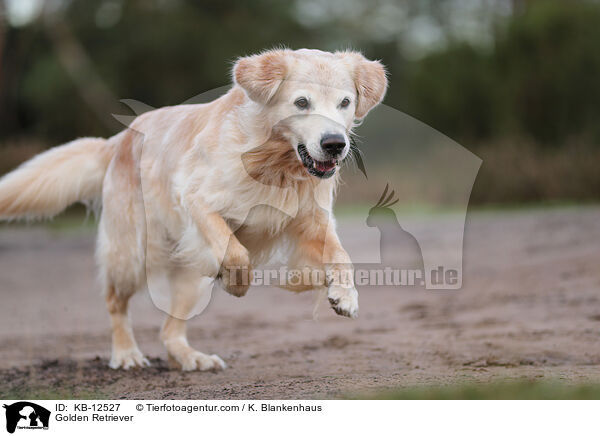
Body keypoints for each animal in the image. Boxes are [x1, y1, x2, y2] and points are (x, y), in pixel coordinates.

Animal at [0, 48, 384, 372]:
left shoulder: (312, 222)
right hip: (131, 255)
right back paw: (126, 354)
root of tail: (119, 140)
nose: (334, 144)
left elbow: (341, 256)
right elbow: (235, 250)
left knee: (170, 331)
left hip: (191, 279)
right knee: (115, 303)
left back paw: (191, 359)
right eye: (302, 102)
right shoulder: (198, 201)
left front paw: (343, 295)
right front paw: (238, 284)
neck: (274, 163)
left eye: (345, 102)